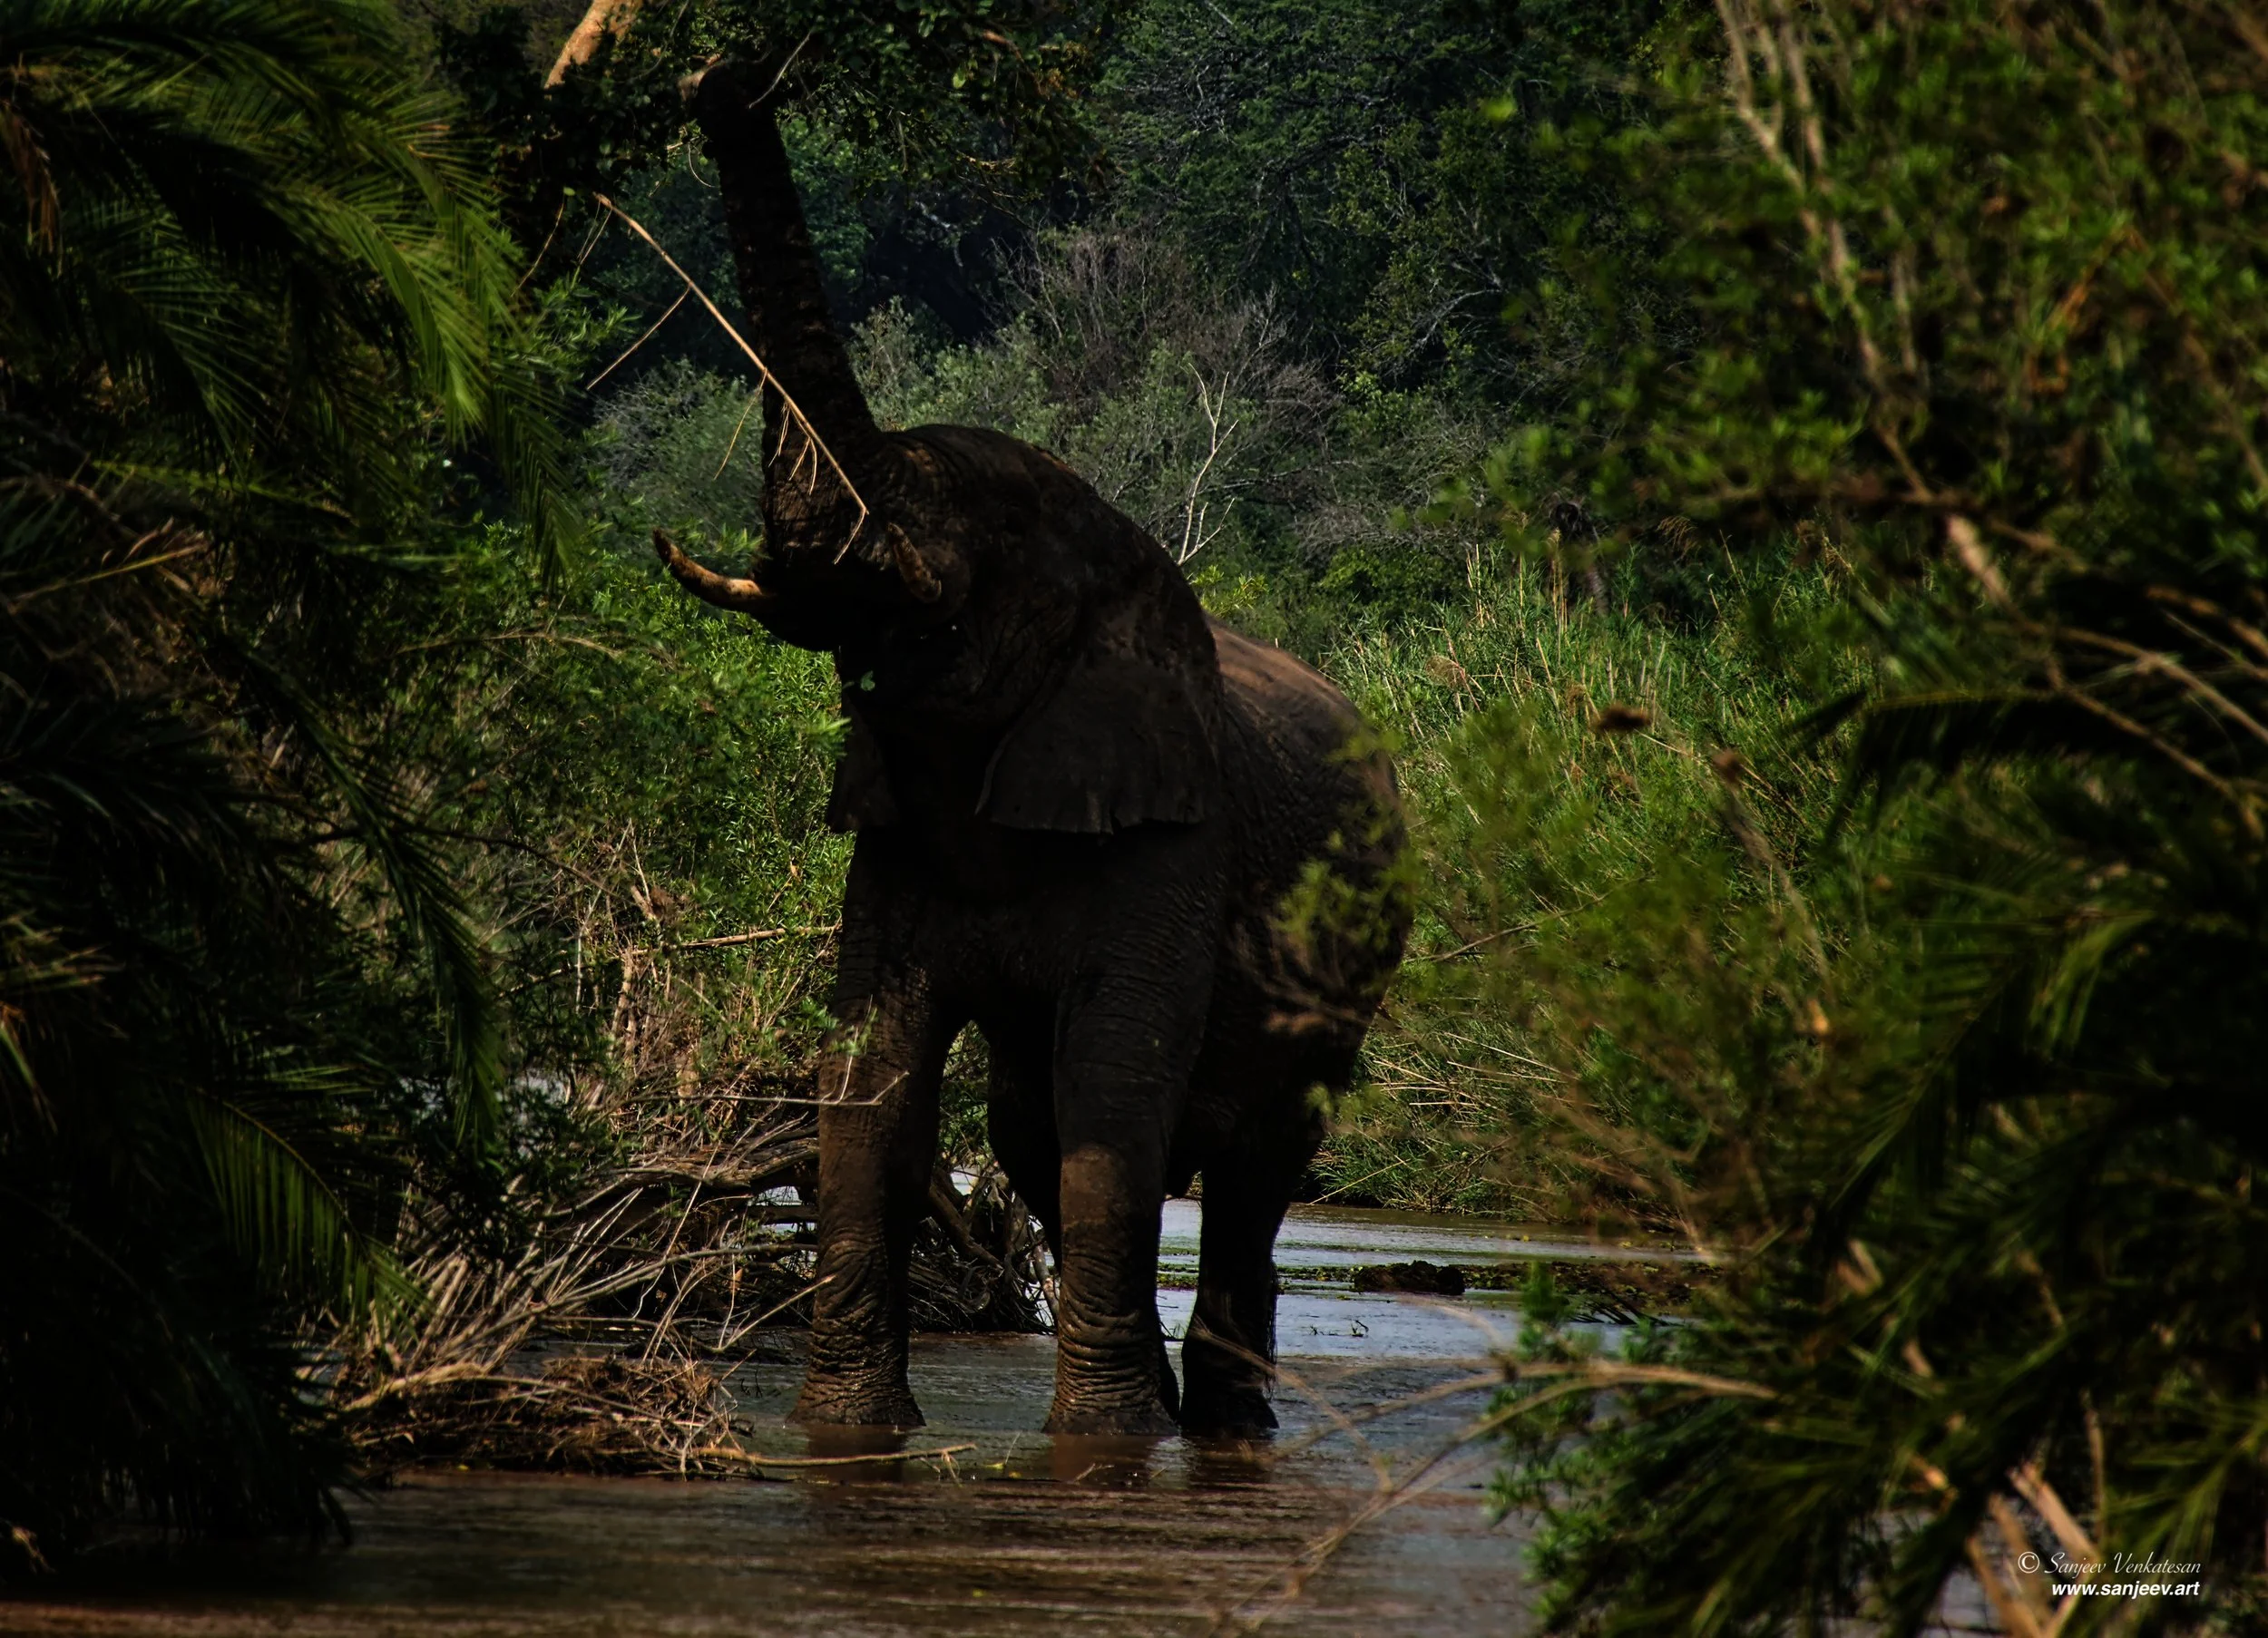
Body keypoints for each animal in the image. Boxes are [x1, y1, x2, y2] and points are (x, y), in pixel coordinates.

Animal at [652, 60, 1410, 1437]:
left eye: (985, 539)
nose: (723, 75)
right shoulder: (895, 834)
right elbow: (875, 1076)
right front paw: (849, 1436)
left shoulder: (1176, 837)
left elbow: (1113, 1083)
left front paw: (1100, 1447)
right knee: (1024, 1128)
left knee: (1257, 1162)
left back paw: (1221, 1424)